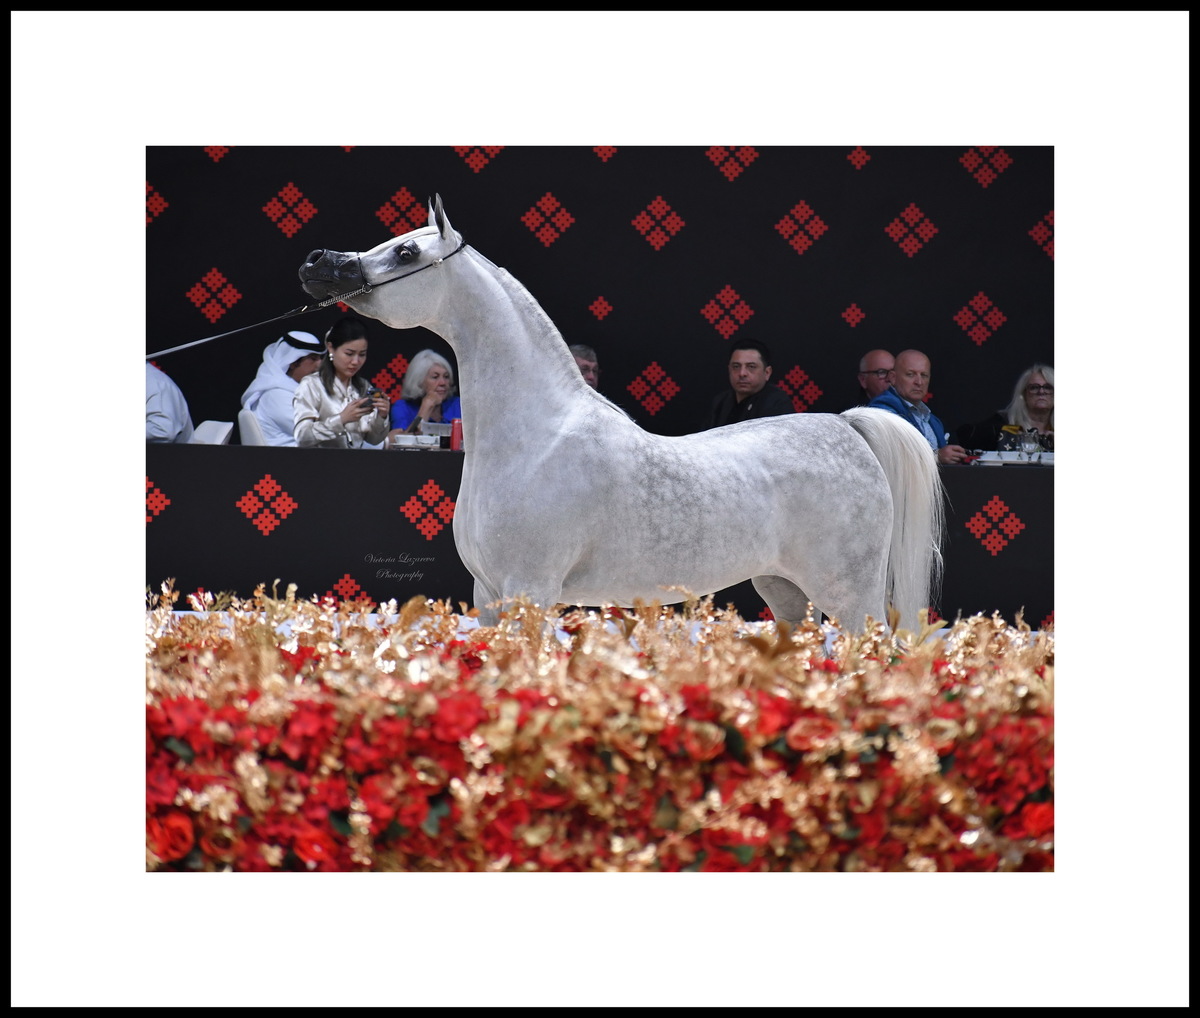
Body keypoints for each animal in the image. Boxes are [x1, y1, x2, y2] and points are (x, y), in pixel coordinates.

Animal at [298, 196, 945, 634]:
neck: (535, 441)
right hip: (784, 591)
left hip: (851, 596)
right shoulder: (487, 597)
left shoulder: (529, 591)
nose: (317, 262)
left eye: (407, 250)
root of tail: (847, 426)